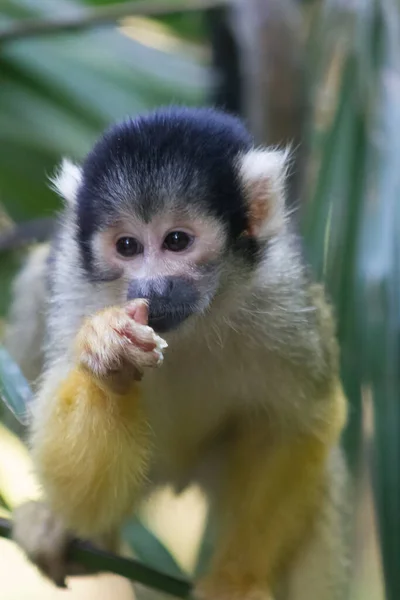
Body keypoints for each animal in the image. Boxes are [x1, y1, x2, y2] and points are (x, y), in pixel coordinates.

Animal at [5, 108, 350, 600]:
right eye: (127, 246)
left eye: (177, 241)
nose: (153, 288)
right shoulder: (75, 290)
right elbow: (81, 498)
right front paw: (111, 362)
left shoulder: (284, 295)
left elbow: (297, 423)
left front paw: (235, 580)